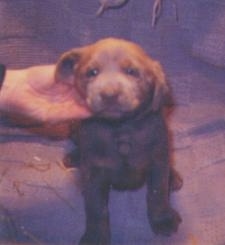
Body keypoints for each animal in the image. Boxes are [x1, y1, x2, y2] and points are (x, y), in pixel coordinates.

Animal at [55, 38, 182, 245]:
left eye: (132, 71)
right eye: (92, 72)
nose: (109, 94)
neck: (121, 129)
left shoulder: (157, 161)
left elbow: (158, 193)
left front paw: (162, 219)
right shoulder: (93, 173)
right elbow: (96, 208)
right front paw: (96, 236)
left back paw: (174, 177)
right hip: (74, 127)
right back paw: (74, 158)